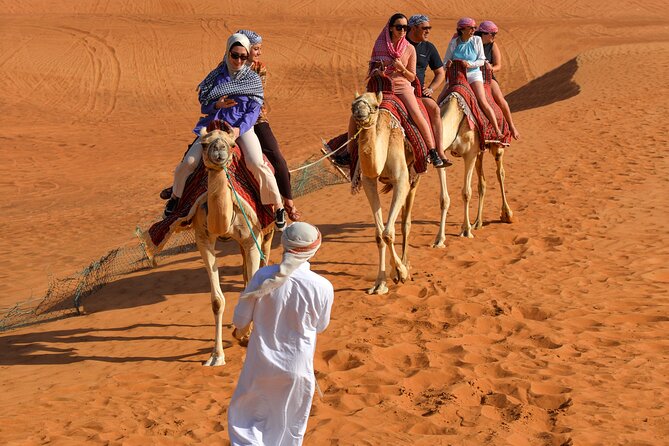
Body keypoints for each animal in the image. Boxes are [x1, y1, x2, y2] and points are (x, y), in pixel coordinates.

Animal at [192, 125, 272, 366]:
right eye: (204, 144)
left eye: (233, 143)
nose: (219, 152)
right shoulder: (203, 240)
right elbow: (217, 301)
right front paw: (216, 355)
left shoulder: (252, 239)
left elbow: (253, 291)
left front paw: (242, 334)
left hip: (267, 230)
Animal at [352, 91, 430, 294]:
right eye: (352, 105)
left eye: (375, 106)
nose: (359, 112)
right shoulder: (368, 181)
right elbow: (380, 235)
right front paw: (380, 283)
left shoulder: (401, 179)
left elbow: (388, 233)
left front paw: (401, 273)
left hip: (414, 175)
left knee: (406, 222)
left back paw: (405, 264)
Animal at [430, 94, 516, 247]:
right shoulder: (443, 156)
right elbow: (444, 199)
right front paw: (439, 239)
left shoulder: (469, 154)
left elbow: (466, 193)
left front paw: (466, 230)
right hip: (479, 152)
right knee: (482, 183)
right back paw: (477, 222)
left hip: (497, 146)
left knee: (500, 173)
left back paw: (506, 214)